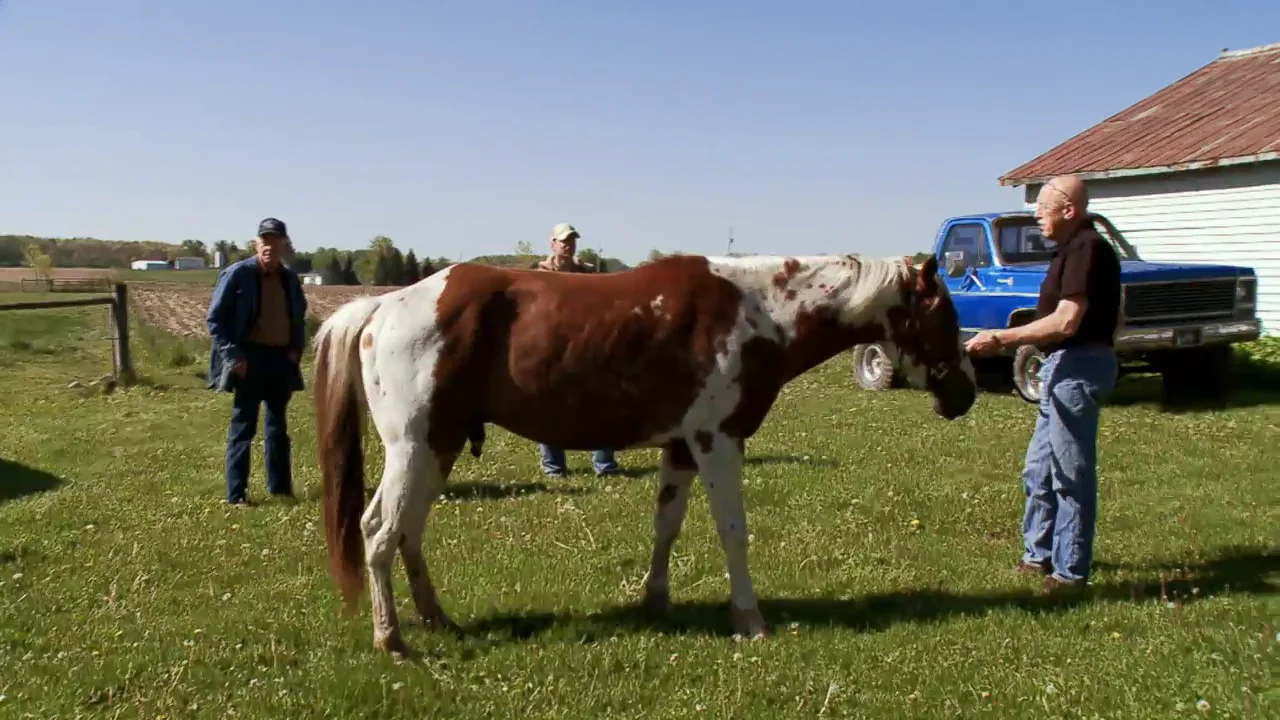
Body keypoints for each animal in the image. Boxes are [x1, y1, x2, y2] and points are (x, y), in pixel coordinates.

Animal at [311, 252, 976, 654]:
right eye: (945, 315)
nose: (967, 393)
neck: (759, 313)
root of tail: (382, 306)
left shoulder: (681, 446)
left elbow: (667, 525)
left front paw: (656, 600)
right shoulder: (717, 441)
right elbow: (733, 532)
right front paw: (750, 620)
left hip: (439, 445)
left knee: (409, 530)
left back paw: (435, 618)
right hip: (413, 448)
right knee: (378, 531)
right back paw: (392, 640)